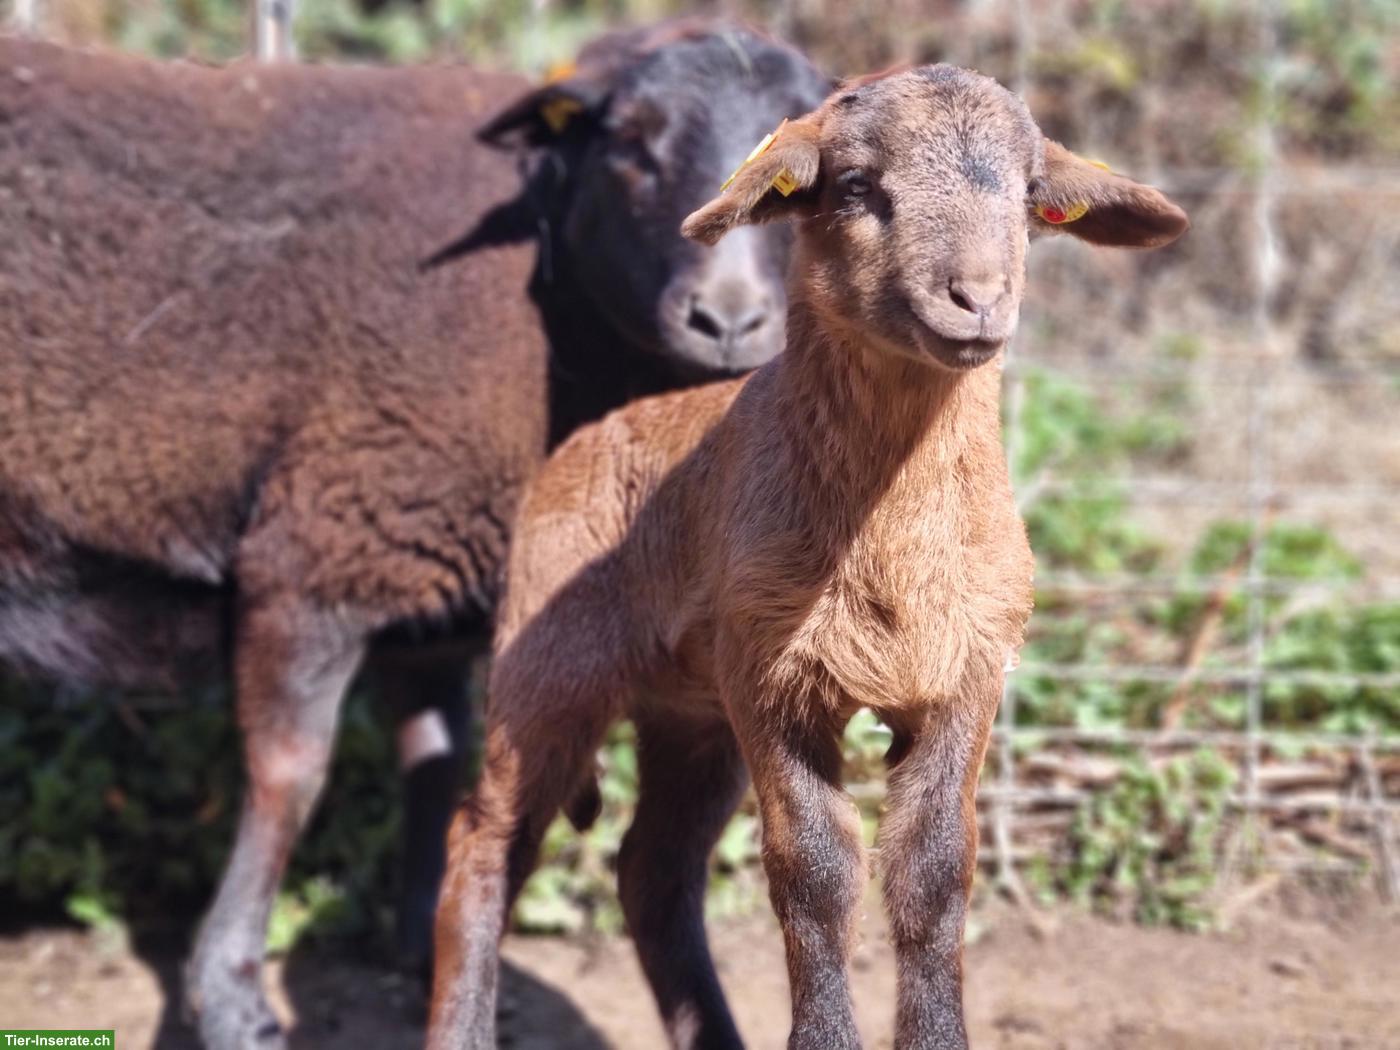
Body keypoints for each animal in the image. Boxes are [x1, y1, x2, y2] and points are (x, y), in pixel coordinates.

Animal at [0, 24, 827, 1050]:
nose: (729, 320)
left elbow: (433, 763)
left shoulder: (426, 579)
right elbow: (291, 779)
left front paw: (420, 950)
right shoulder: (320, 548)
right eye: (630, 145)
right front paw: (230, 995)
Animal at [427, 64, 1188, 1050]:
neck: (892, 549)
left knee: (653, 869)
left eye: (1029, 197)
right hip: (549, 668)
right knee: (485, 842)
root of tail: (579, 444)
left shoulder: (967, 674)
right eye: (857, 187)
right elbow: (817, 876)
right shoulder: (774, 682)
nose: (979, 299)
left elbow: (936, 872)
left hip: (691, 711)